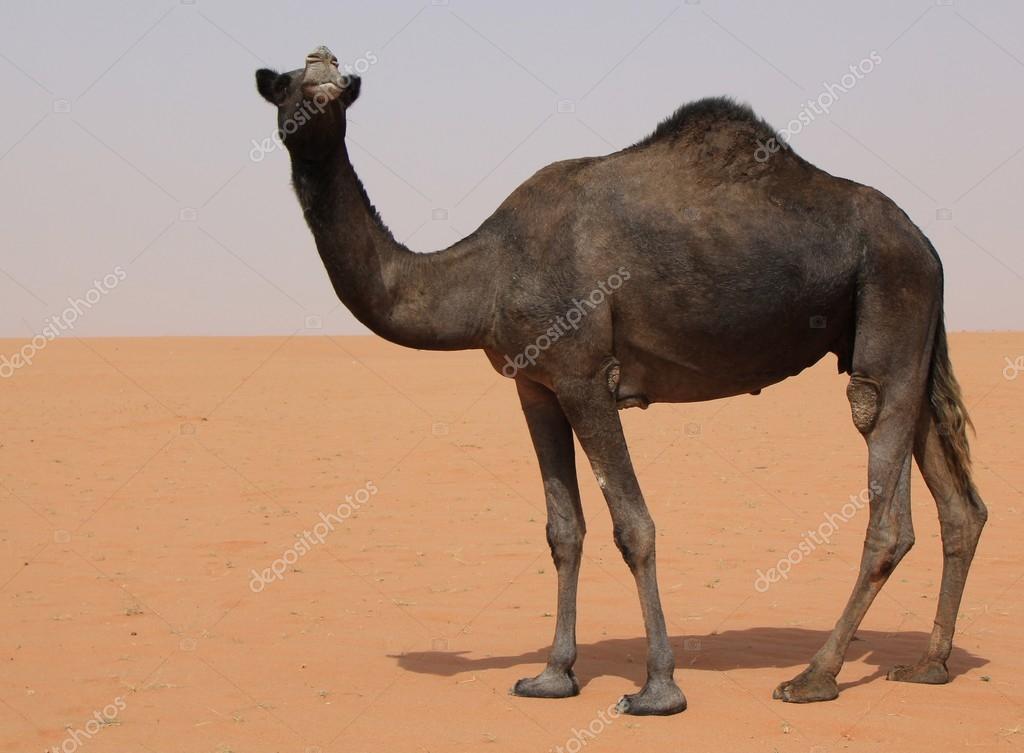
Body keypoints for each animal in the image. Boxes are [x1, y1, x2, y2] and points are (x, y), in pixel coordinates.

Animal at [255, 46, 987, 715]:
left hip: (891, 297)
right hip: (909, 337)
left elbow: (633, 525)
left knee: (885, 493)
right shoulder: (536, 385)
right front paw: (552, 674)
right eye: (290, 85)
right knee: (960, 504)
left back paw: (813, 676)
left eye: (338, 89)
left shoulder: (585, 375)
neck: (485, 273)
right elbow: (563, 528)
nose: (314, 103)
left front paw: (657, 688)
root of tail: (927, 244)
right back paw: (929, 664)